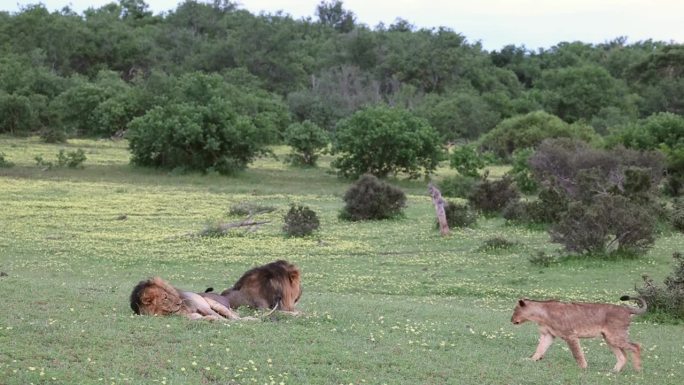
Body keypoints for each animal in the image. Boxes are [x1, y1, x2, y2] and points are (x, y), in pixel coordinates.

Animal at [510, 294, 648, 372]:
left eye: (515, 310)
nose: (511, 320)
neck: (541, 315)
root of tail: (626, 308)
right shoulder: (548, 335)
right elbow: (539, 349)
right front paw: (531, 360)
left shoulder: (570, 335)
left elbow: (577, 354)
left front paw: (583, 368)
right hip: (609, 338)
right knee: (622, 356)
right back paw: (614, 371)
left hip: (615, 336)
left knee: (636, 346)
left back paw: (638, 369)